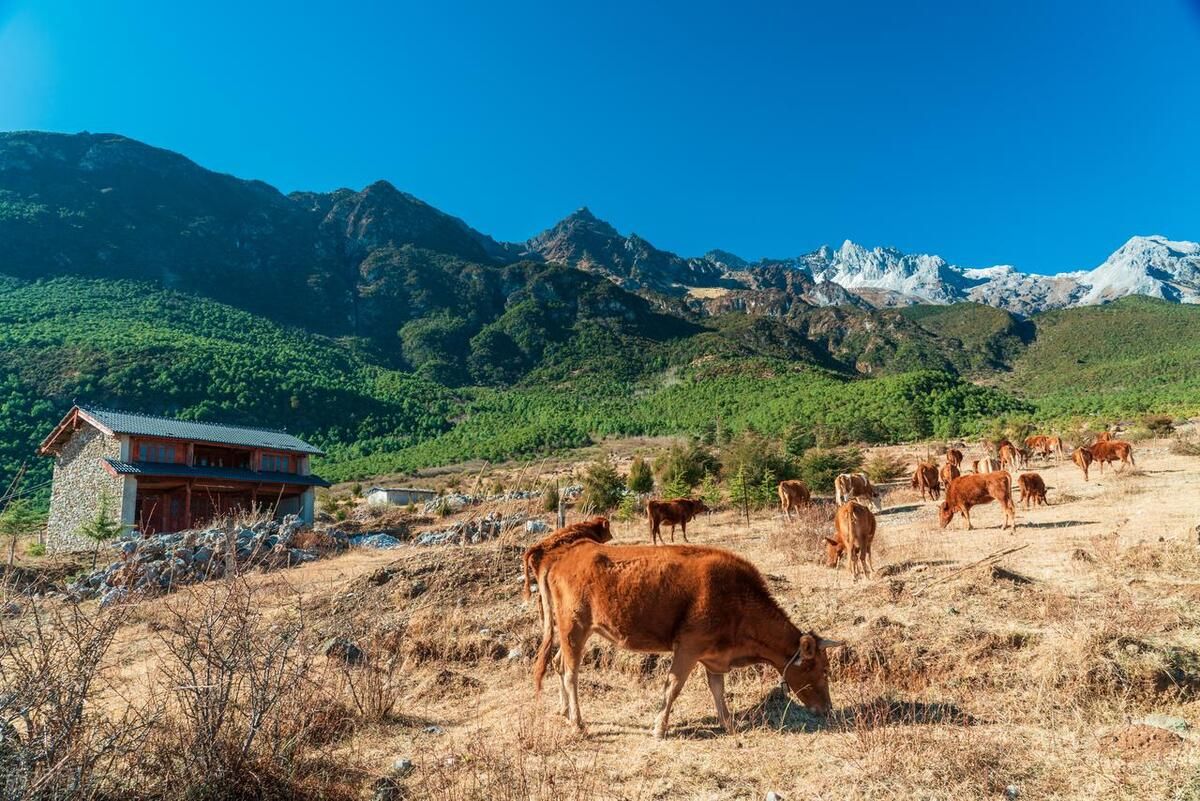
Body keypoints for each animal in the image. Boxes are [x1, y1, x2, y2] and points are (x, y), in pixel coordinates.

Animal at [535, 541, 844, 733]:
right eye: (824, 670)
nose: (828, 709)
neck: (737, 600)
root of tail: (562, 557)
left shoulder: (714, 656)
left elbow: (718, 690)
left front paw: (728, 724)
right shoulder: (688, 648)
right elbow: (673, 687)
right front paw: (659, 727)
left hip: (572, 632)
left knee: (558, 663)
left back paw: (564, 712)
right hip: (574, 628)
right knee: (570, 673)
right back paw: (577, 723)